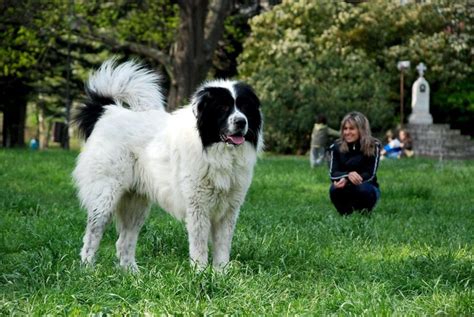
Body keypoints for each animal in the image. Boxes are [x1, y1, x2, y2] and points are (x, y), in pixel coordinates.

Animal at [73, 59, 262, 272]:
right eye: (222, 108)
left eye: (244, 107)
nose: (241, 122)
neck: (214, 149)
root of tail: (108, 112)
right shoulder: (198, 207)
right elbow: (199, 246)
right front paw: (200, 273)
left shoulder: (229, 211)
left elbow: (222, 248)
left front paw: (220, 274)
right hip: (105, 196)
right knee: (92, 235)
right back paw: (88, 269)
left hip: (136, 204)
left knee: (124, 242)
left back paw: (132, 274)